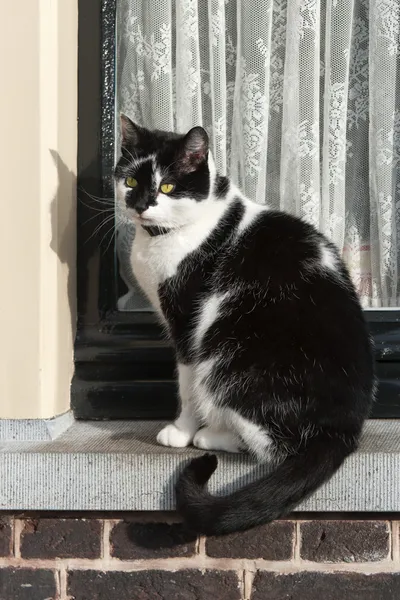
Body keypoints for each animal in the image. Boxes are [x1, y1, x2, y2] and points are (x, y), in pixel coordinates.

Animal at [115, 113, 376, 536]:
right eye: (131, 182)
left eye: (167, 186)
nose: (139, 205)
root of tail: (343, 431)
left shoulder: (187, 323)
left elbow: (185, 385)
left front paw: (181, 430)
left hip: (226, 355)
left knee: (272, 448)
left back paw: (210, 437)